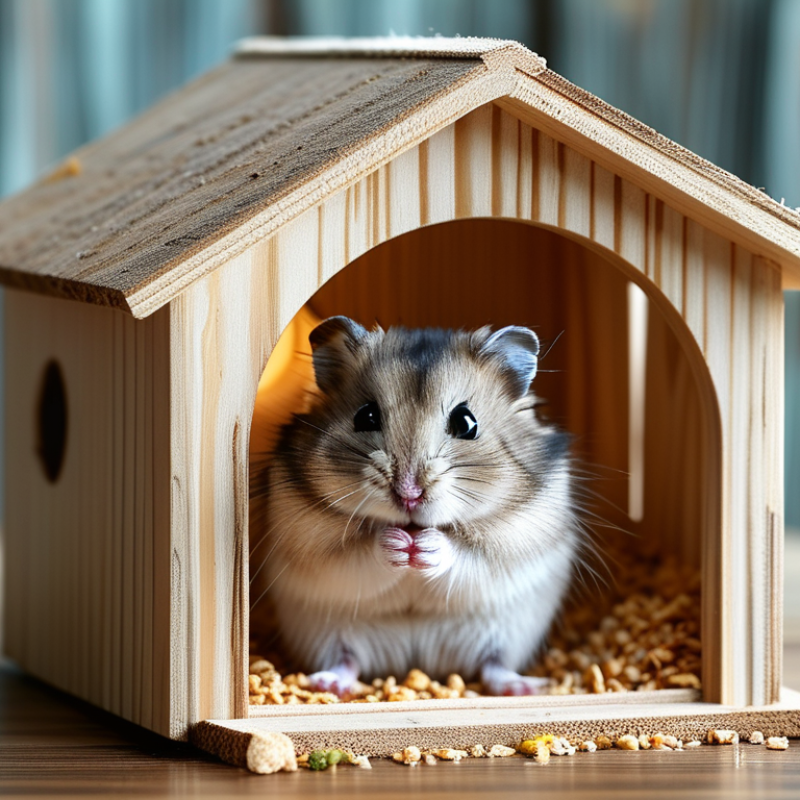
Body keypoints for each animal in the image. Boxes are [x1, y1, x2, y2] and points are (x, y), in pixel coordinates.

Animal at [251, 316, 579, 696]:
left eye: (467, 423)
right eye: (365, 416)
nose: (408, 494)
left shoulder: (512, 543)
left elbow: (464, 555)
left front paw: (424, 547)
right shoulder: (314, 545)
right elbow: (359, 553)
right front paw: (398, 544)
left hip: (507, 635)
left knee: (493, 666)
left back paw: (526, 687)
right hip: (330, 635)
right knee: (348, 660)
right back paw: (327, 683)